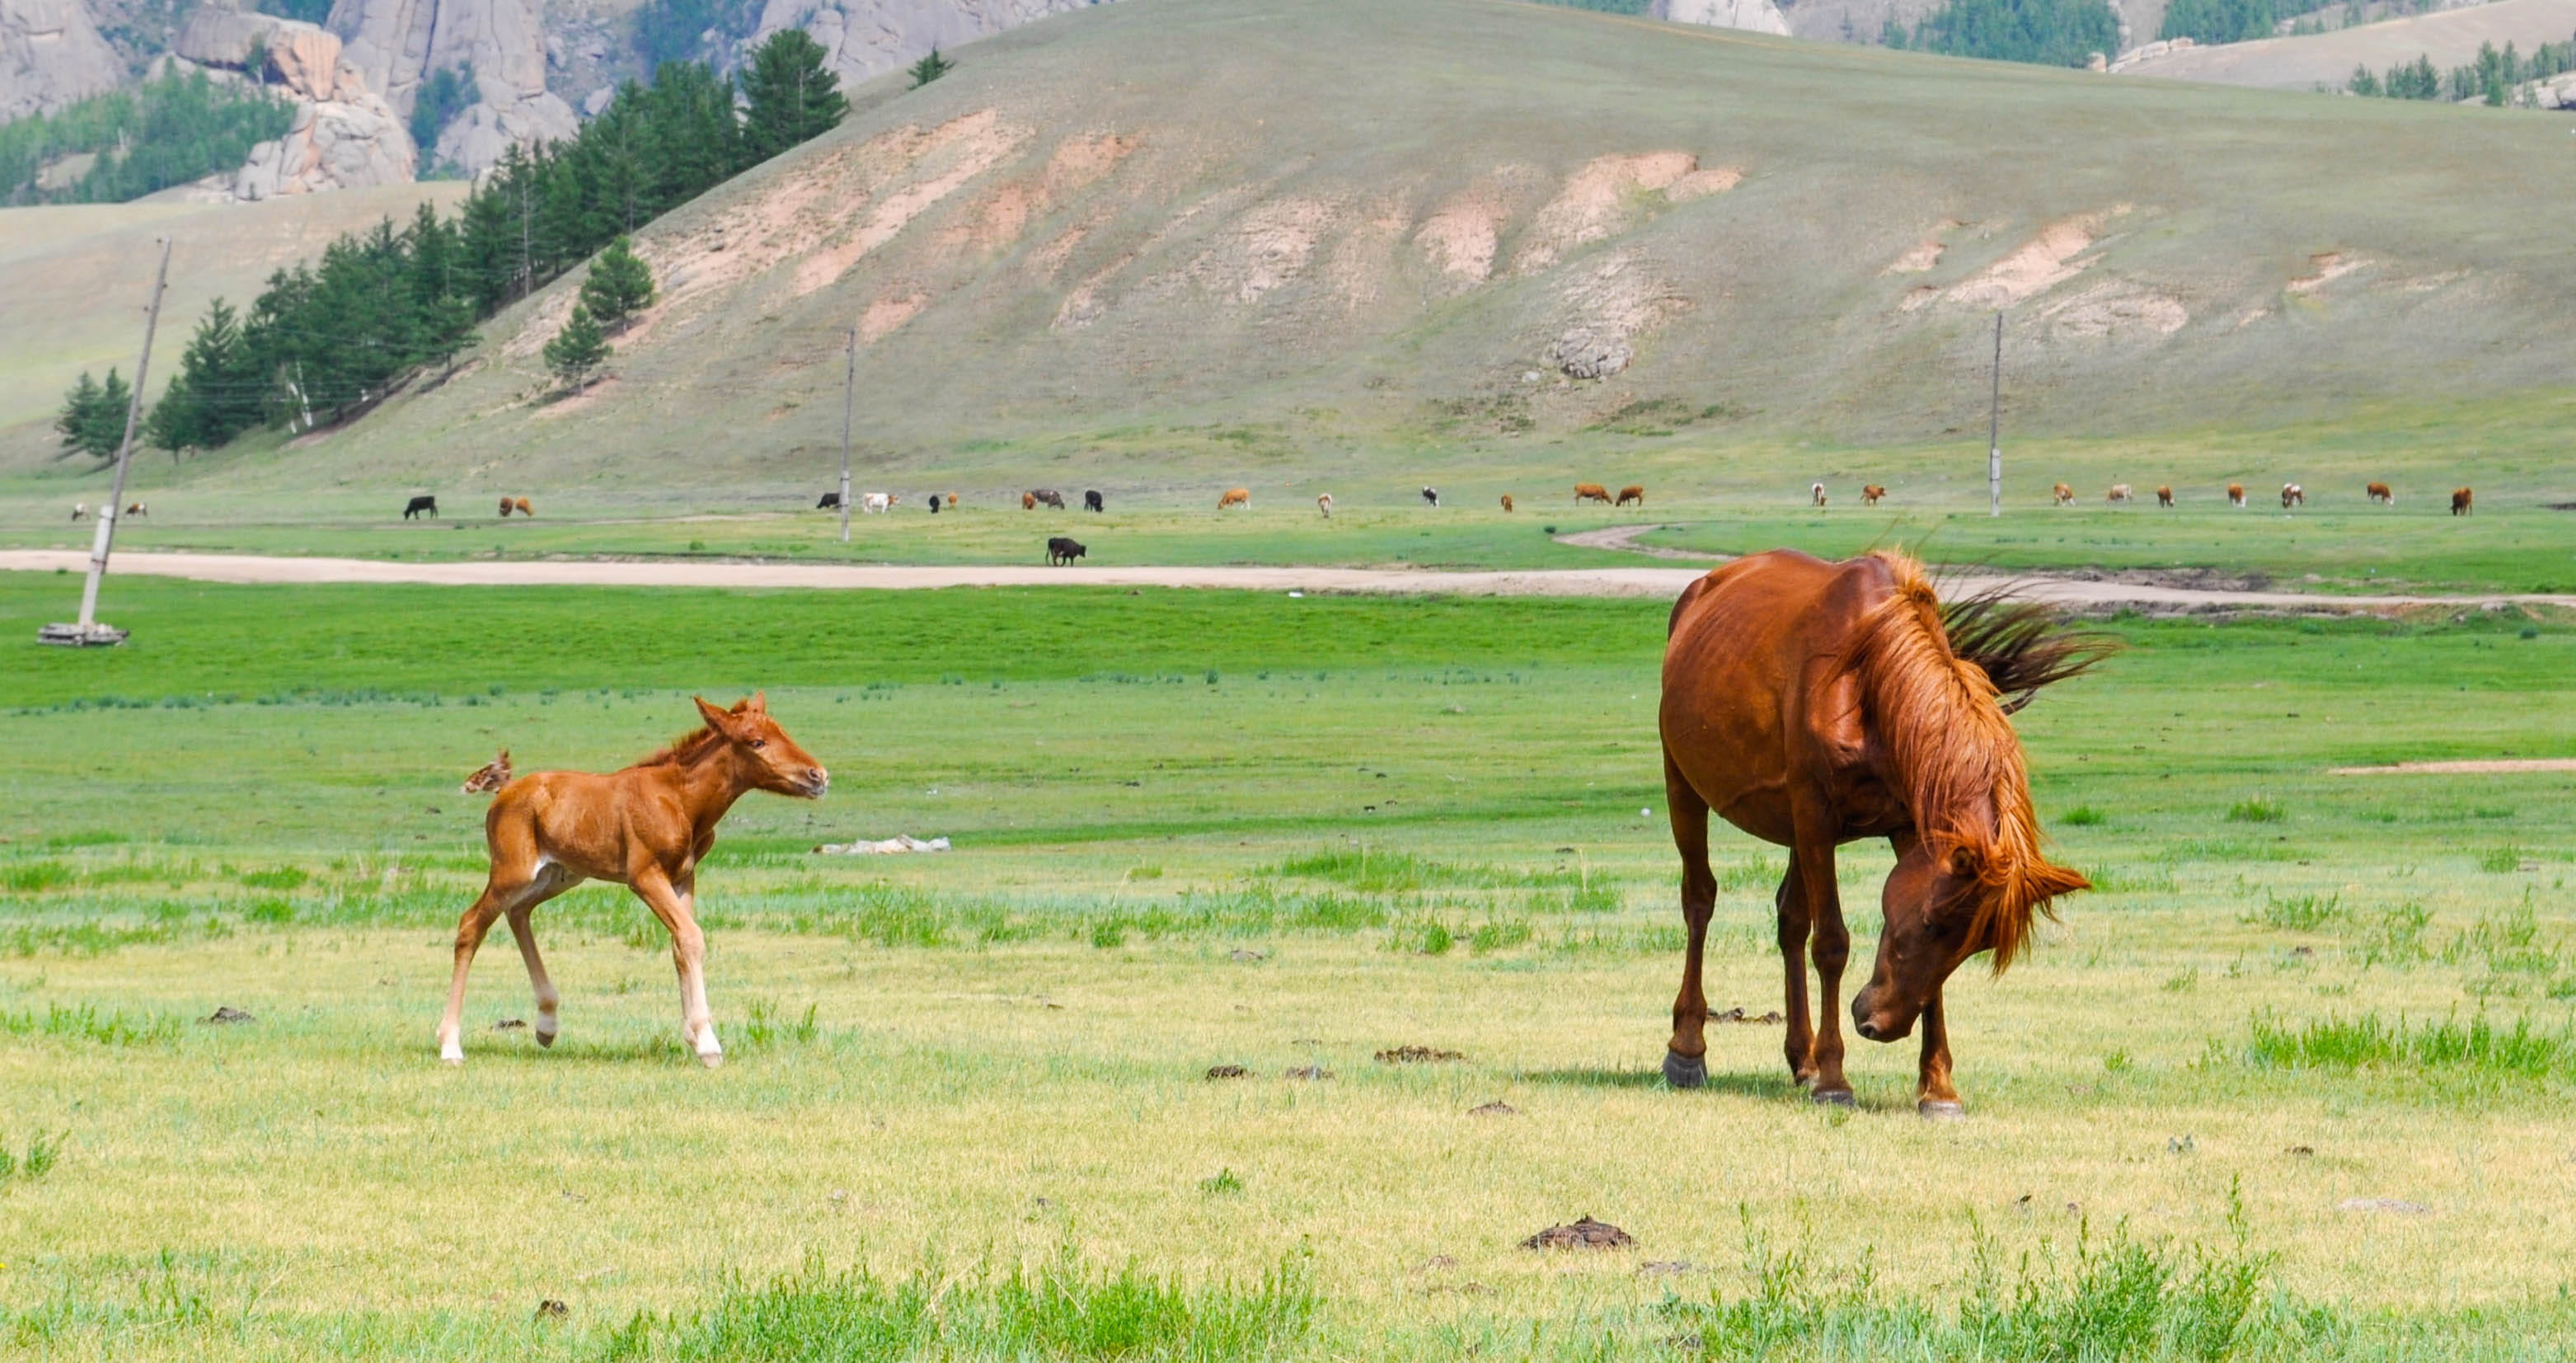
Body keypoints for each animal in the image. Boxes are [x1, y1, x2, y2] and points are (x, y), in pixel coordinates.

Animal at [436, 694, 827, 1067]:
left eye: (783, 732)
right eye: (756, 741)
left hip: (559, 875)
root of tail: (505, 791)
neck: (680, 799)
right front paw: (707, 1044)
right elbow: (691, 936)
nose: (819, 776)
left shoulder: (683, 876)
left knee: (518, 913)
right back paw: (451, 1045)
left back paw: (546, 1026)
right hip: (512, 872)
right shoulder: (644, 876)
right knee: (472, 923)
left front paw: (693, 1036)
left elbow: (681, 944)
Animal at [1659, 550, 2101, 1116]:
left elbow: (1926, 982)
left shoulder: (1909, 827)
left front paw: (1938, 1088)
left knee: (1789, 920)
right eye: (1931, 924)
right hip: (1685, 787)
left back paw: (1801, 1057)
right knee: (1700, 900)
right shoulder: (1816, 819)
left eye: (1974, 945)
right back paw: (1687, 1049)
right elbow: (1831, 943)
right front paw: (1834, 1080)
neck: (1870, 679)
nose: (1881, 1026)